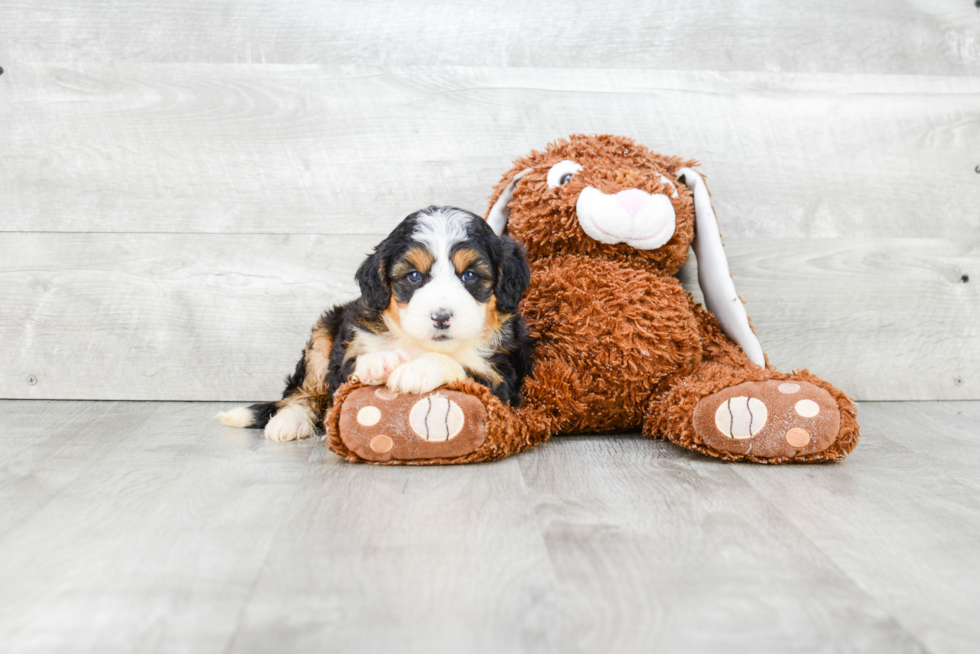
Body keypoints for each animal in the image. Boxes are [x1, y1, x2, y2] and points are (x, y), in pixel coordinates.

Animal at [217, 206, 532, 440]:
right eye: (414, 276)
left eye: (469, 276)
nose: (441, 317)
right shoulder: (349, 346)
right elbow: (352, 365)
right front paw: (379, 362)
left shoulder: (500, 378)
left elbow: (461, 366)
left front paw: (417, 369)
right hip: (322, 335)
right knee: (301, 390)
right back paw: (289, 420)